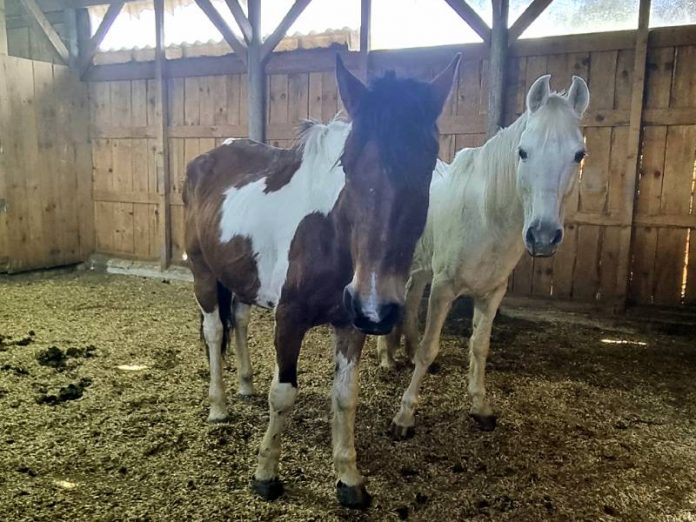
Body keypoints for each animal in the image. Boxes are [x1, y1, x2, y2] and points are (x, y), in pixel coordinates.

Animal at [182, 54, 460, 506]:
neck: (331, 235)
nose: (376, 306)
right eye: (347, 163)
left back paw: (244, 385)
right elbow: (283, 394)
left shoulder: (350, 323)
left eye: (427, 163)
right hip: (203, 274)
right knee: (213, 331)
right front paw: (266, 474)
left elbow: (345, 397)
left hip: (241, 278)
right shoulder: (289, 319)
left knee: (237, 321)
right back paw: (219, 405)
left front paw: (348, 478)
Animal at [378, 74, 588, 438]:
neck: (486, 216)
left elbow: (479, 347)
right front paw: (404, 417)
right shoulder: (444, 288)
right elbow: (430, 348)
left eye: (579, 154)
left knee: (409, 302)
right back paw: (385, 359)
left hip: (419, 268)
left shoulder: (491, 293)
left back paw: (400, 354)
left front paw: (480, 407)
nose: (543, 235)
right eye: (523, 151)